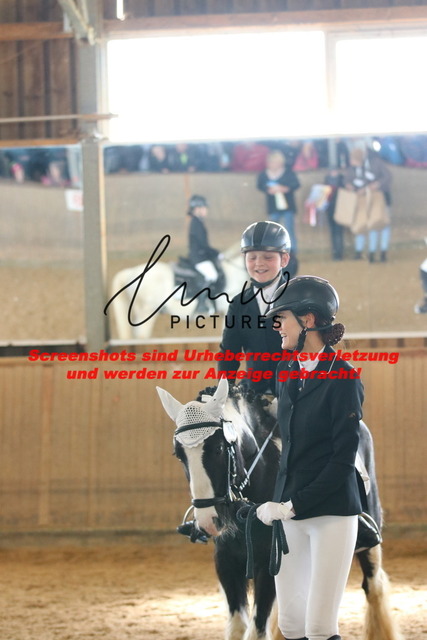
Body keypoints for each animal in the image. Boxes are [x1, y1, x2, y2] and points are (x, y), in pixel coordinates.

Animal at [157, 378, 401, 640]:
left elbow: (256, 630)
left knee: (373, 586)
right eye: (179, 455)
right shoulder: (225, 561)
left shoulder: (270, 564)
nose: (207, 522)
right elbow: (238, 628)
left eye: (219, 449)